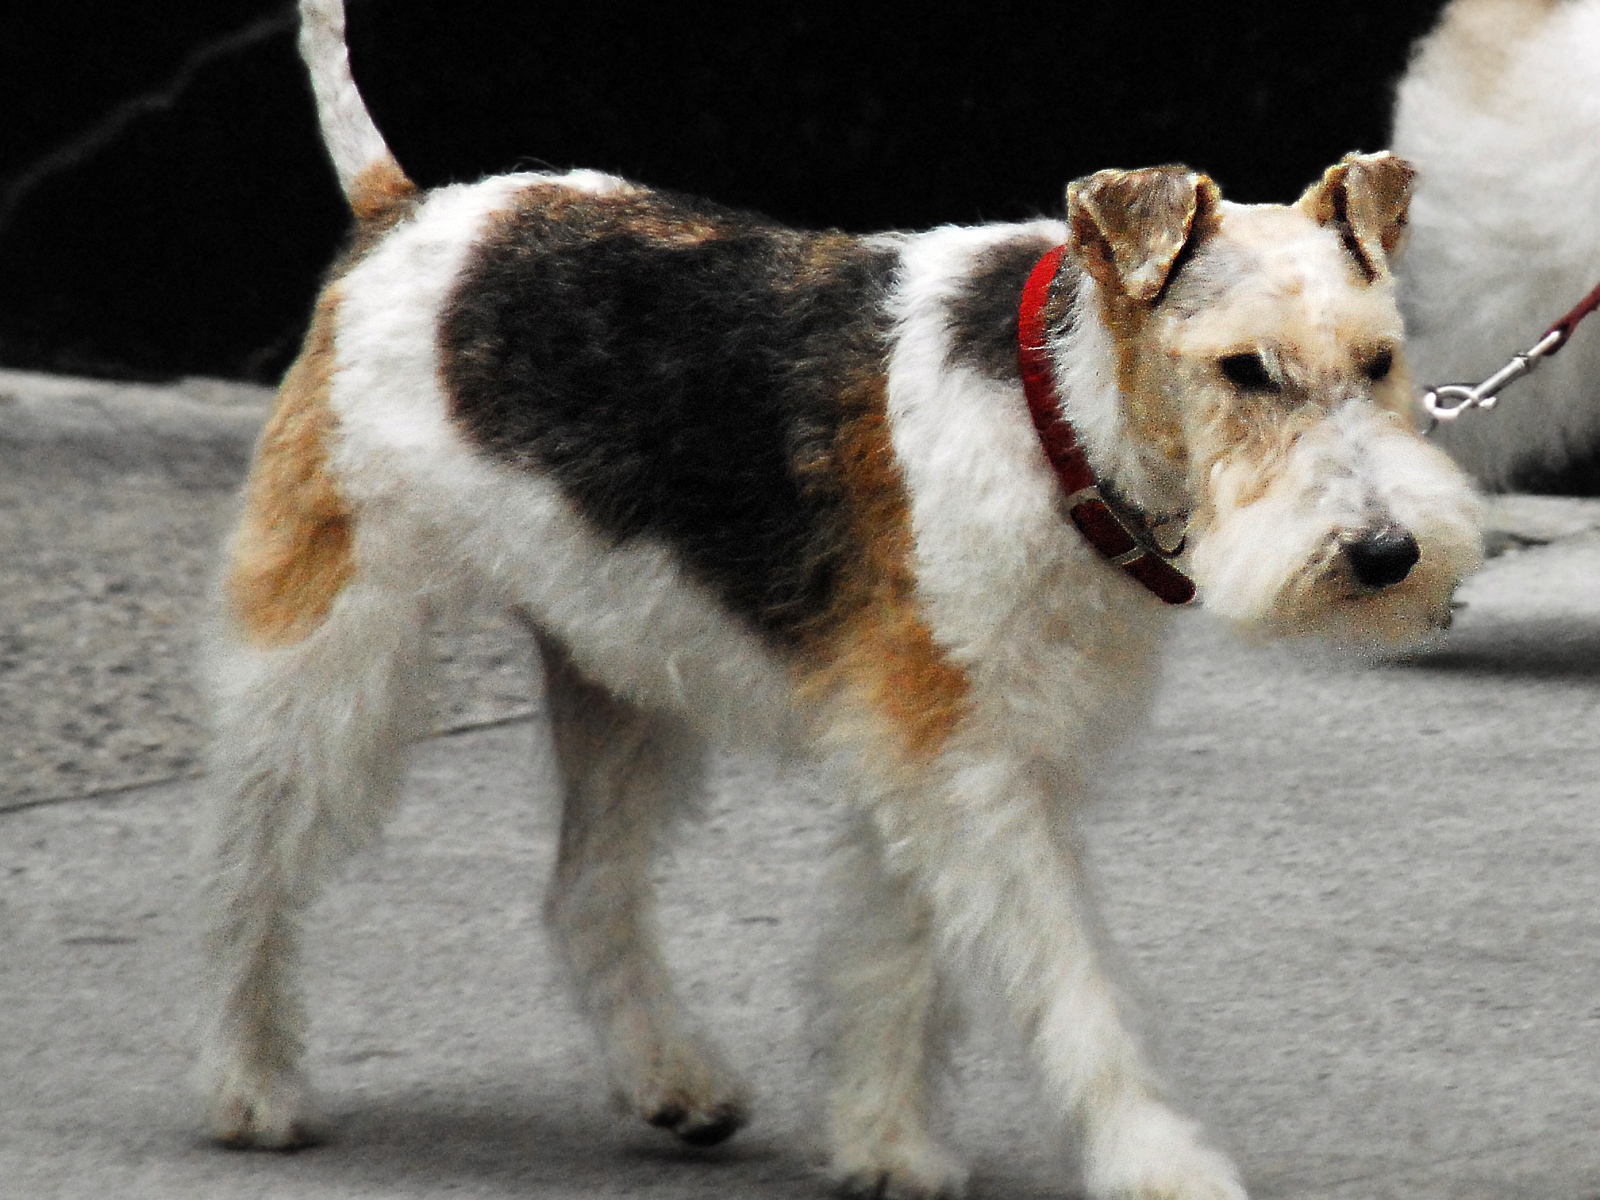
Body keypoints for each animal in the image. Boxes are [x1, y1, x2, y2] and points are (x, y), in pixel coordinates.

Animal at [196, 2, 1484, 1197]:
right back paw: (251, 1089)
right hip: (333, 647)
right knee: (251, 873)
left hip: (618, 666)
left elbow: (896, 960)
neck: (1058, 421)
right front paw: (1153, 1161)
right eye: (1241, 369)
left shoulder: (938, 744)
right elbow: (1067, 986)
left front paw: (884, 1143)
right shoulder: (959, 754)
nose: (1383, 553)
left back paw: (675, 1082)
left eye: (1378, 360)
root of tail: (405, 211)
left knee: (583, 892)